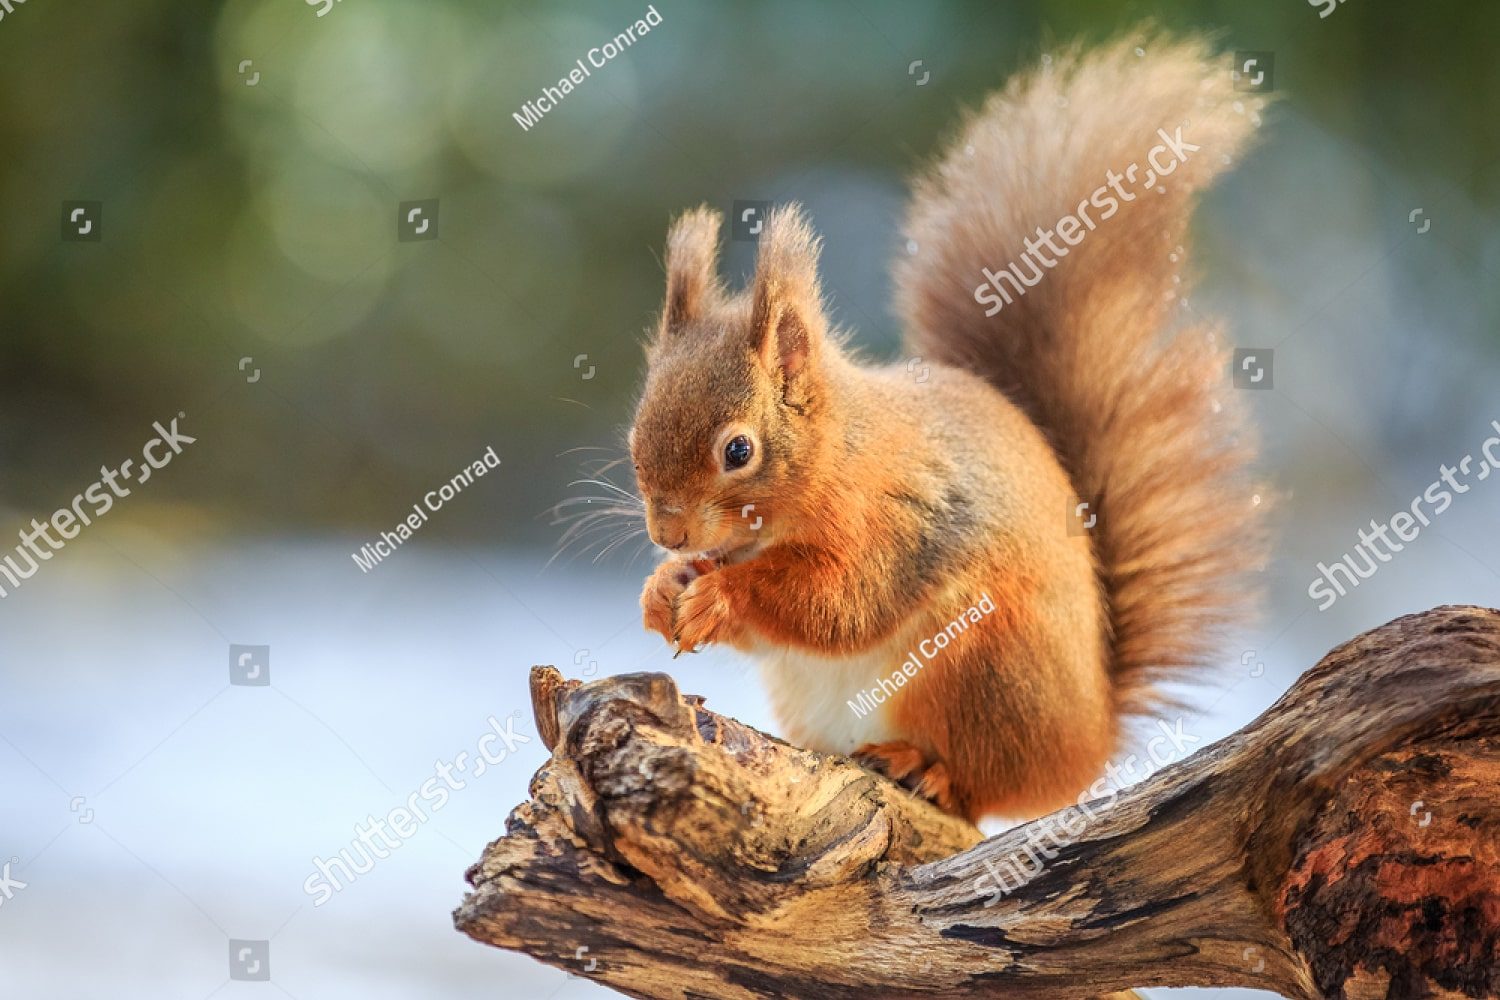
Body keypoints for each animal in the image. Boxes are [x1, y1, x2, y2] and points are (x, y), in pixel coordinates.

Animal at [627, 34, 1268, 823]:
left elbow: (840, 604)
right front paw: (663, 588)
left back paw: (924, 767)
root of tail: (1088, 744)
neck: (840, 453)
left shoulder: (899, 520)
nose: (668, 533)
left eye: (738, 450)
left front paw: (722, 595)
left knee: (978, 784)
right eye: (635, 438)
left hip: (982, 667)